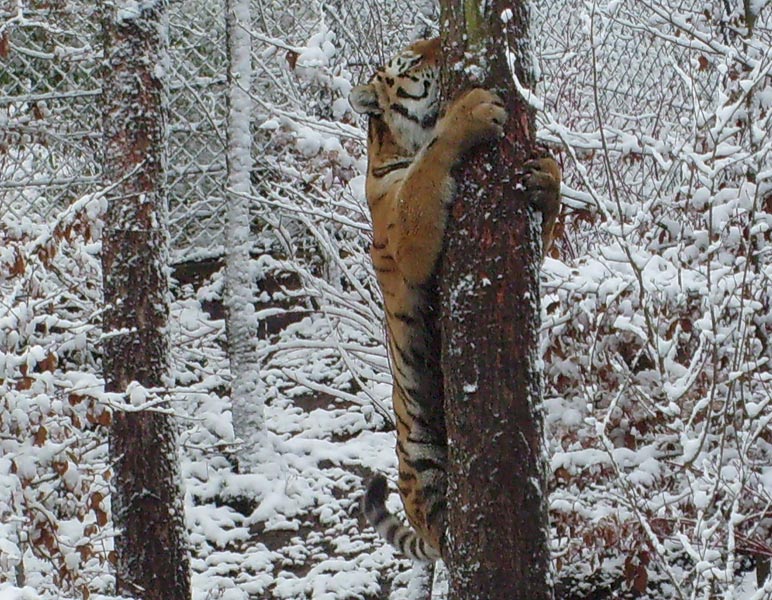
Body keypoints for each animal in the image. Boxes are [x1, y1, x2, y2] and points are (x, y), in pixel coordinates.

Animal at [350, 37, 560, 564]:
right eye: (409, 60)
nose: (440, 43)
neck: (392, 144)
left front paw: (548, 177)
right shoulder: (408, 236)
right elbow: (431, 162)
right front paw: (471, 112)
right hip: (421, 460)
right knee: (445, 535)